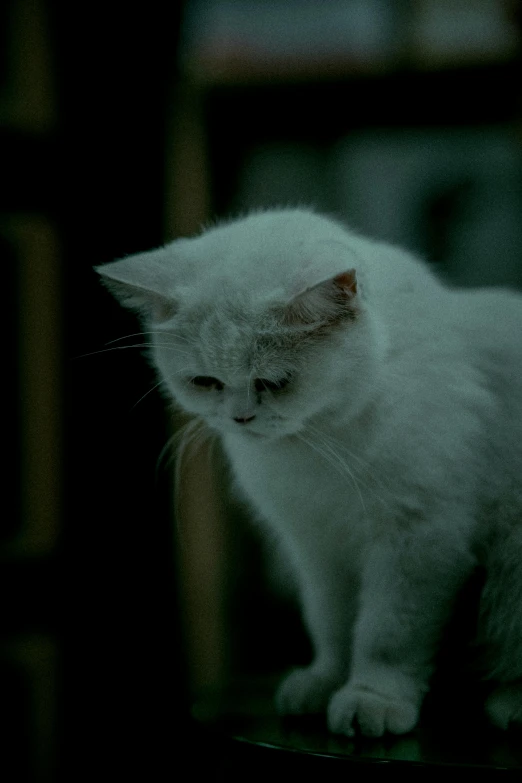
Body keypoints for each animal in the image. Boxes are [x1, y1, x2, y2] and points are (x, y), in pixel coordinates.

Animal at [95, 208, 520, 736]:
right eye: (206, 382)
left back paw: (510, 704)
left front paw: (370, 698)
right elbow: (333, 624)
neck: (318, 445)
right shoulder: (318, 548)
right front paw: (325, 683)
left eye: (274, 383)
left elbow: (387, 633)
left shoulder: (419, 541)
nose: (240, 418)